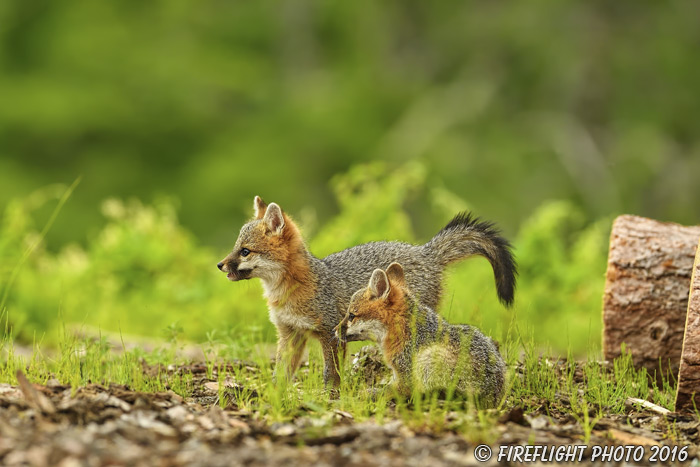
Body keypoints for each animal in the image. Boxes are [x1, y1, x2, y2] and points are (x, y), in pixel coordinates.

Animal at [216, 196, 516, 390]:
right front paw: (275, 395)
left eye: (245, 251)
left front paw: (330, 395)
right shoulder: (290, 334)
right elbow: (281, 371)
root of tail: (425, 251)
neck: (288, 292)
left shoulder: (329, 332)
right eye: (235, 248)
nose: (220, 265)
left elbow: (330, 372)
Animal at [336, 262, 506, 408]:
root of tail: (493, 395)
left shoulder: (406, 380)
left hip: (429, 358)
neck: (405, 331)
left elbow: (386, 390)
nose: (335, 331)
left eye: (351, 316)